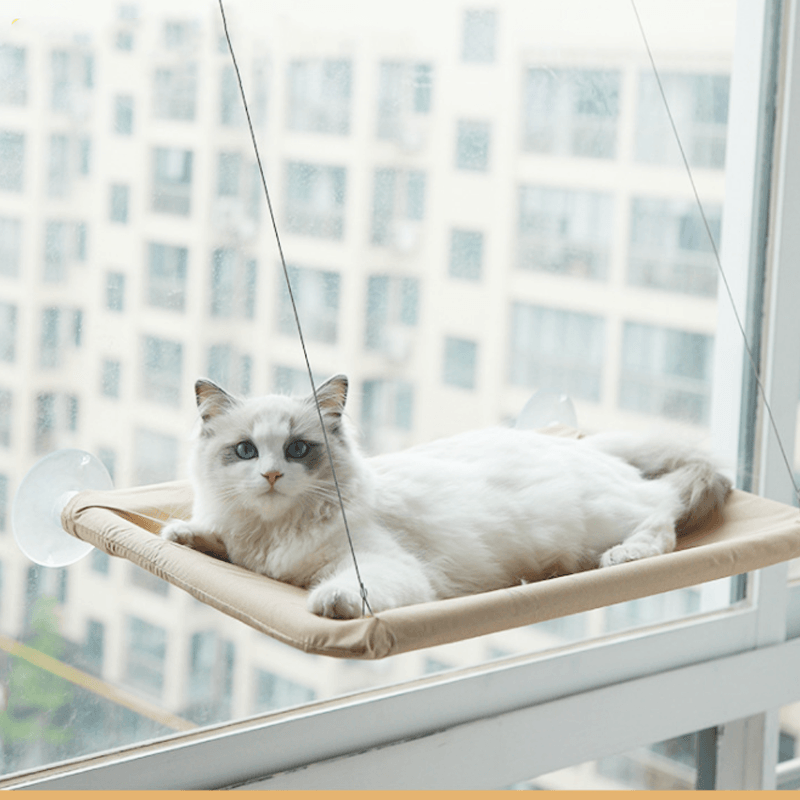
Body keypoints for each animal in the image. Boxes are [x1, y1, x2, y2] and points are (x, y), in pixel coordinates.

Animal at [161, 376, 732, 620]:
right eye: (246, 450)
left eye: (298, 449)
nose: (273, 475)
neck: (274, 532)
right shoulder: (247, 550)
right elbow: (216, 541)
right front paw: (182, 534)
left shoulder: (381, 566)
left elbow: (346, 588)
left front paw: (330, 602)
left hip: (605, 517)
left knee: (662, 514)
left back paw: (624, 555)